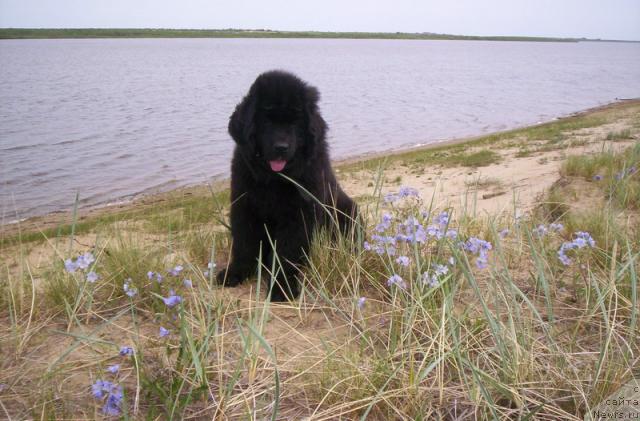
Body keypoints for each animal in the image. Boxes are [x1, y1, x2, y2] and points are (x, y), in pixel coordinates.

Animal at [215, 70, 356, 300]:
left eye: (296, 122)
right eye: (266, 120)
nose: (281, 147)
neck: (275, 179)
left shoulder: (299, 214)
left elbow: (287, 253)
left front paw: (282, 287)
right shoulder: (244, 205)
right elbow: (244, 243)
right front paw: (236, 272)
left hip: (346, 211)